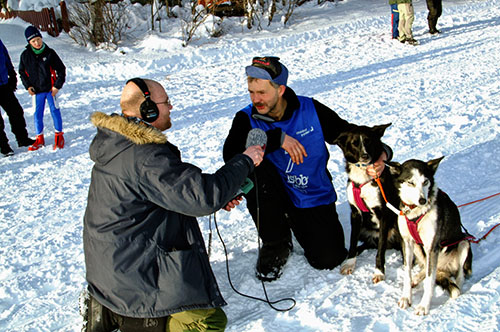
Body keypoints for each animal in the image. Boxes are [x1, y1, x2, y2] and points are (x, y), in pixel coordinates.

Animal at [390, 157, 472, 316]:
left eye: (425, 182)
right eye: (410, 182)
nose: (422, 200)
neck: (416, 213)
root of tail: (444, 267)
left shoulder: (431, 247)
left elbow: (429, 281)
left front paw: (423, 306)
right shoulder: (407, 243)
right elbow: (407, 273)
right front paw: (406, 297)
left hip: (464, 243)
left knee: (459, 275)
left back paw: (458, 287)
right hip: (419, 248)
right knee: (427, 269)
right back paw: (417, 278)